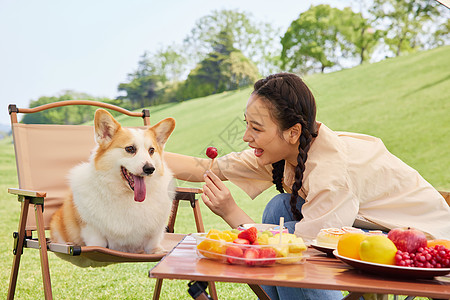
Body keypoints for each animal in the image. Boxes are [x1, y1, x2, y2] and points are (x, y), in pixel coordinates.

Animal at [49, 108, 176, 264]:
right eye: (130, 149)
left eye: (151, 151)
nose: (150, 169)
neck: (128, 196)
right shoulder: (91, 229)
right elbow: (98, 243)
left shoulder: (155, 233)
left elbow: (153, 244)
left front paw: (158, 251)